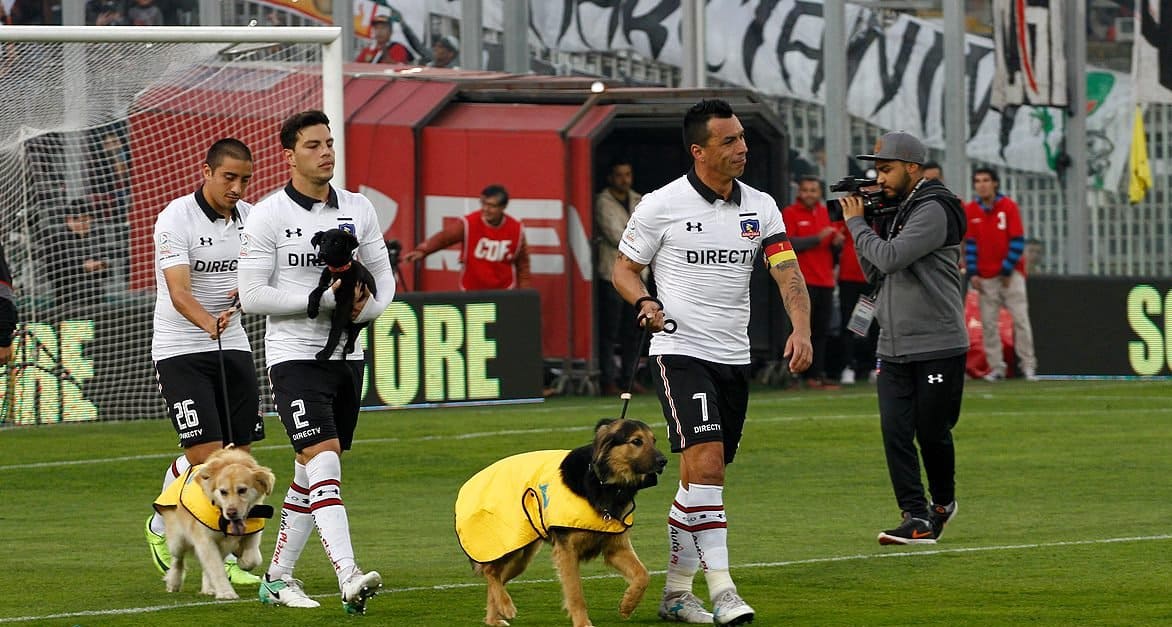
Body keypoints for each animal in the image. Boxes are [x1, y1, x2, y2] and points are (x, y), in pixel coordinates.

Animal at [153, 447, 274, 597]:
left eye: (242, 490)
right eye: (223, 492)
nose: (231, 513)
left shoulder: (253, 533)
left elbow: (253, 558)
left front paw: (241, 559)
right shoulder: (204, 540)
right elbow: (216, 568)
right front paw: (226, 592)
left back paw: (208, 588)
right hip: (178, 540)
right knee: (177, 560)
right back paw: (173, 582)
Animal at [307, 228, 375, 360]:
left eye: (336, 243)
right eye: (322, 241)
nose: (322, 254)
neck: (337, 270)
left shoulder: (344, 302)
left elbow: (335, 331)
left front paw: (326, 353)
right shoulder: (325, 286)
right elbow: (314, 292)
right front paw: (312, 310)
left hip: (362, 319)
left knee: (355, 330)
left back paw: (349, 347)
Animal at [452, 417, 665, 627]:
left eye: (653, 440)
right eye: (636, 441)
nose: (664, 461)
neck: (603, 483)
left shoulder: (615, 548)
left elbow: (643, 575)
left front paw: (628, 604)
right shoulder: (566, 551)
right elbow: (575, 593)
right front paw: (582, 623)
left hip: (522, 555)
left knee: (496, 578)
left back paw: (494, 618)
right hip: (507, 544)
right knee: (490, 572)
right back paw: (505, 605)